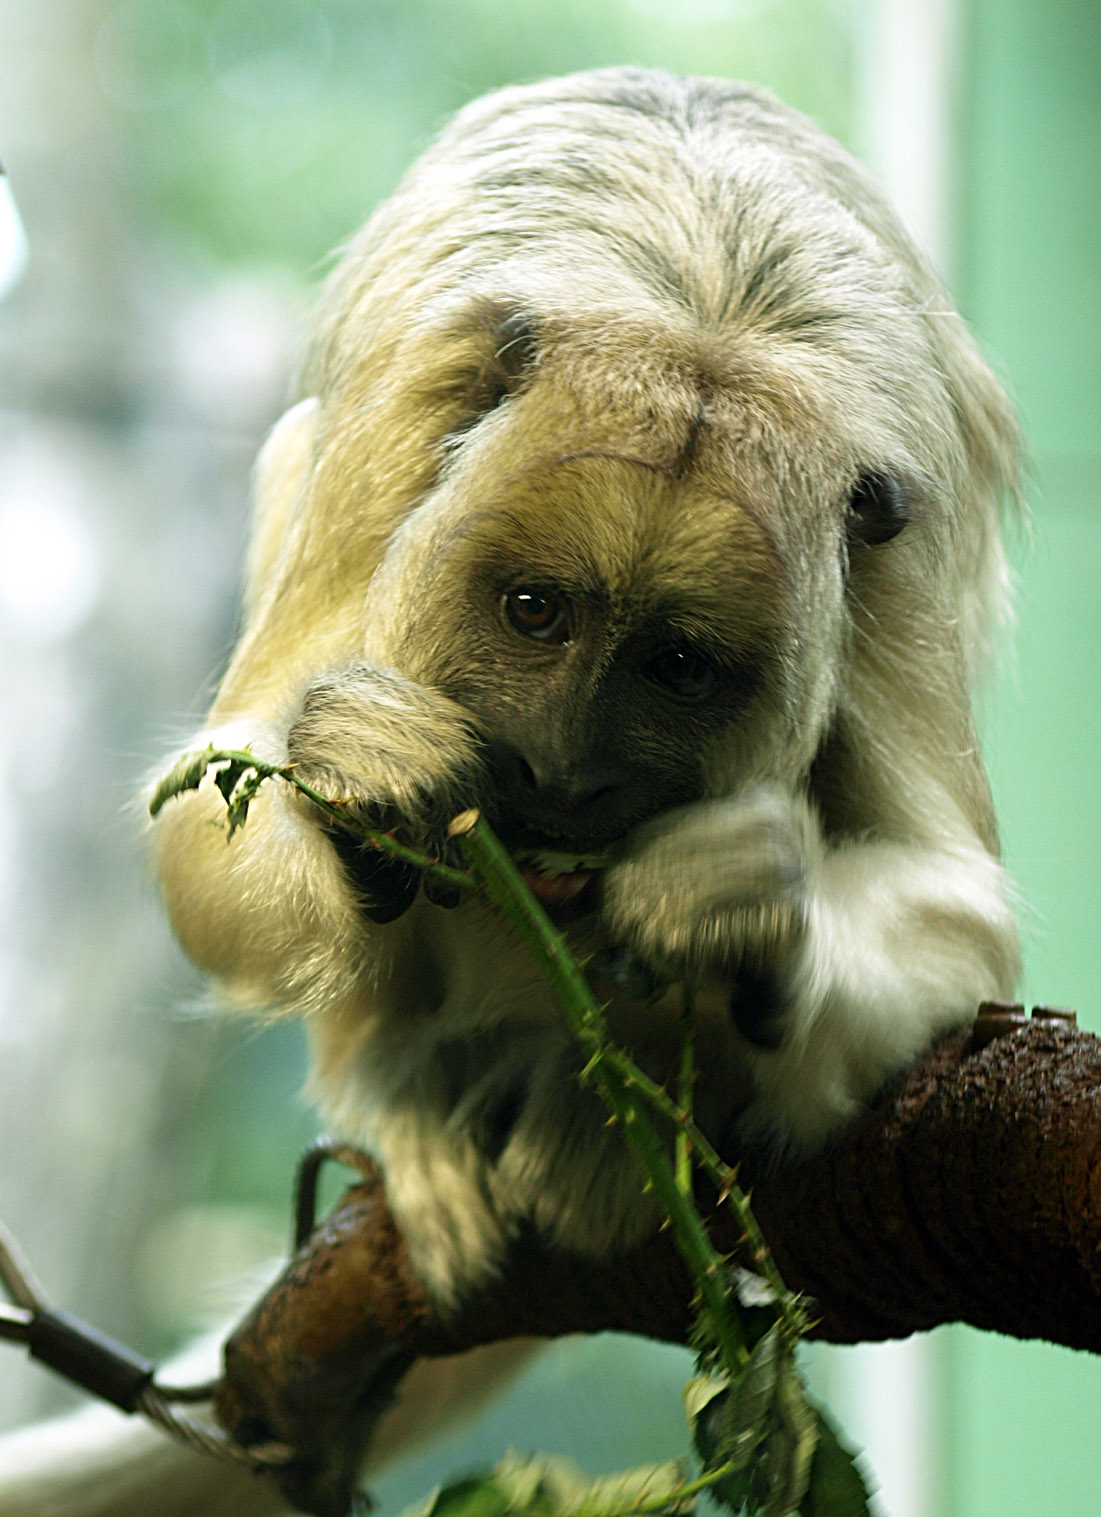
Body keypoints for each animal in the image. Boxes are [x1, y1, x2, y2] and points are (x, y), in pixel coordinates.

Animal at [0, 66, 1021, 1516]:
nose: (561, 769)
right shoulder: (398, 433)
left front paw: (745, 910)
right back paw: (416, 1099)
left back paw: (611, 1107)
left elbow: (962, 921)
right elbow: (204, 827)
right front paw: (361, 787)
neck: (705, 322)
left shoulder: (892, 552)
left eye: (676, 662)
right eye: (536, 611)